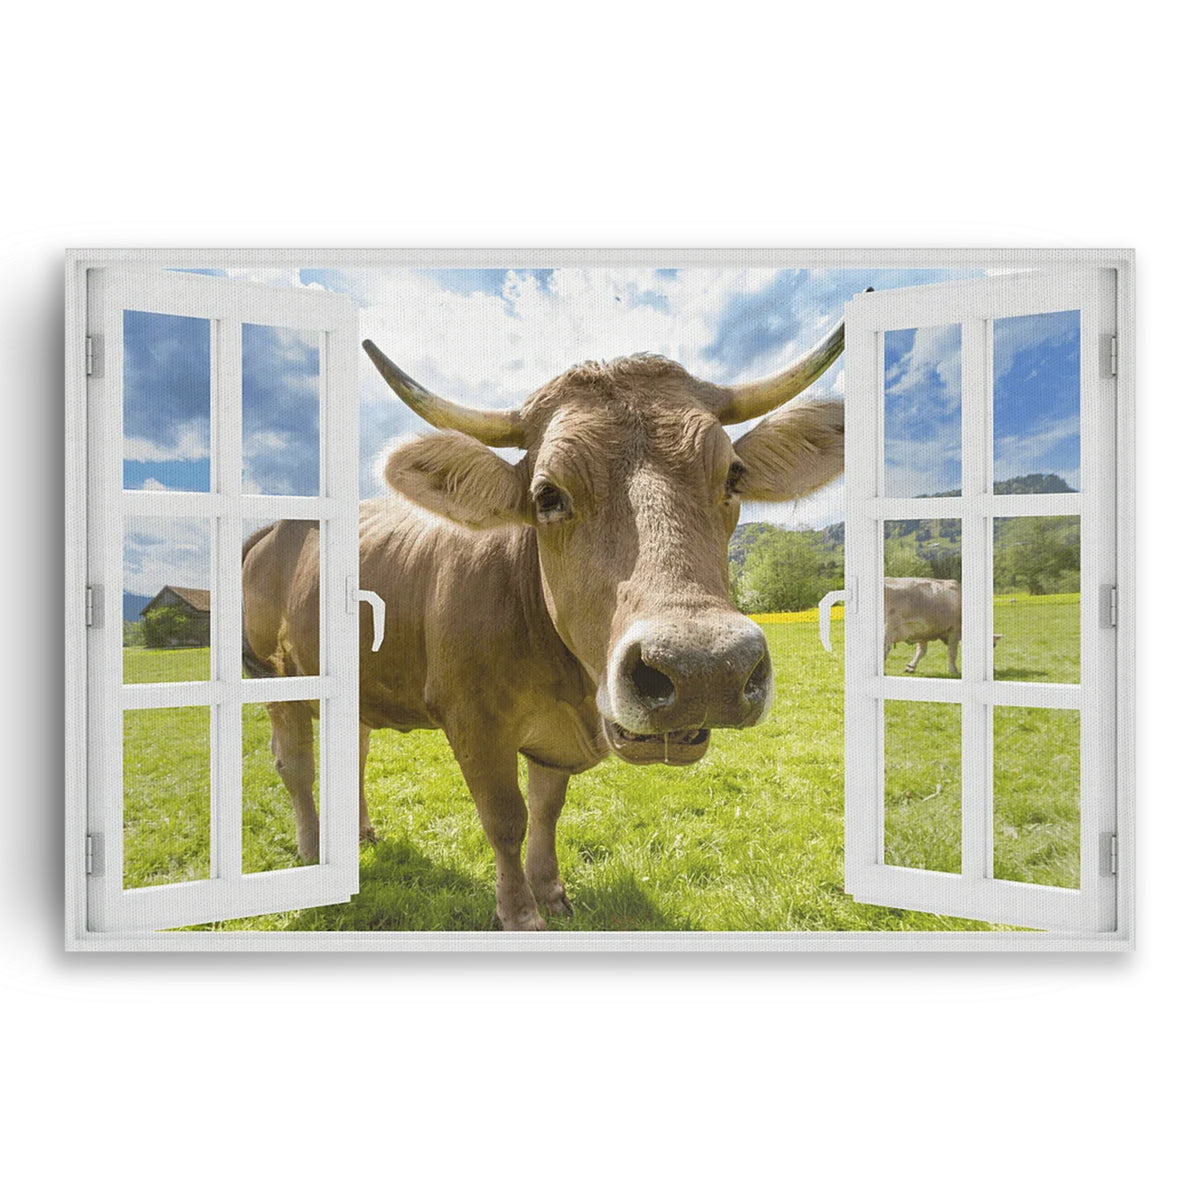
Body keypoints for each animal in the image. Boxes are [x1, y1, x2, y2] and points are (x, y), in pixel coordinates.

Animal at [242, 320, 848, 929]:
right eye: (547, 495)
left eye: (733, 476)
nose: (705, 670)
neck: (568, 683)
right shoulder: (473, 721)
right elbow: (505, 818)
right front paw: (519, 913)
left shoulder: (554, 739)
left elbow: (547, 809)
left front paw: (551, 891)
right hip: (277, 677)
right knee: (294, 765)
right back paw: (313, 851)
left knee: (355, 752)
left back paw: (361, 833)